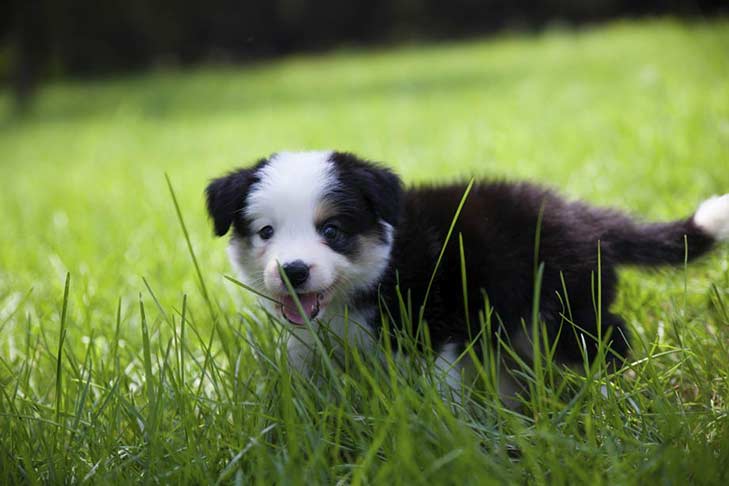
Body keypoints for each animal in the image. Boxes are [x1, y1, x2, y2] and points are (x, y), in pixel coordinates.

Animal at [206, 150, 728, 392]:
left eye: (331, 230)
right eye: (266, 232)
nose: (293, 272)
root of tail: (584, 215)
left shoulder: (434, 327)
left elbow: (440, 388)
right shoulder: (307, 344)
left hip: (560, 307)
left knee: (608, 335)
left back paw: (614, 386)